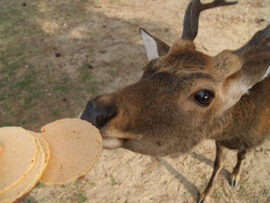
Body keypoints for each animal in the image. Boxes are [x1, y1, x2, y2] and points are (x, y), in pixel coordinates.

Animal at [80, 0, 270, 201]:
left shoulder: (253, 141)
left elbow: (241, 157)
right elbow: (218, 163)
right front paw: (205, 194)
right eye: (149, 66)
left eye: (204, 96)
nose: (93, 111)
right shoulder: (220, 140)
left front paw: (234, 177)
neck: (237, 132)